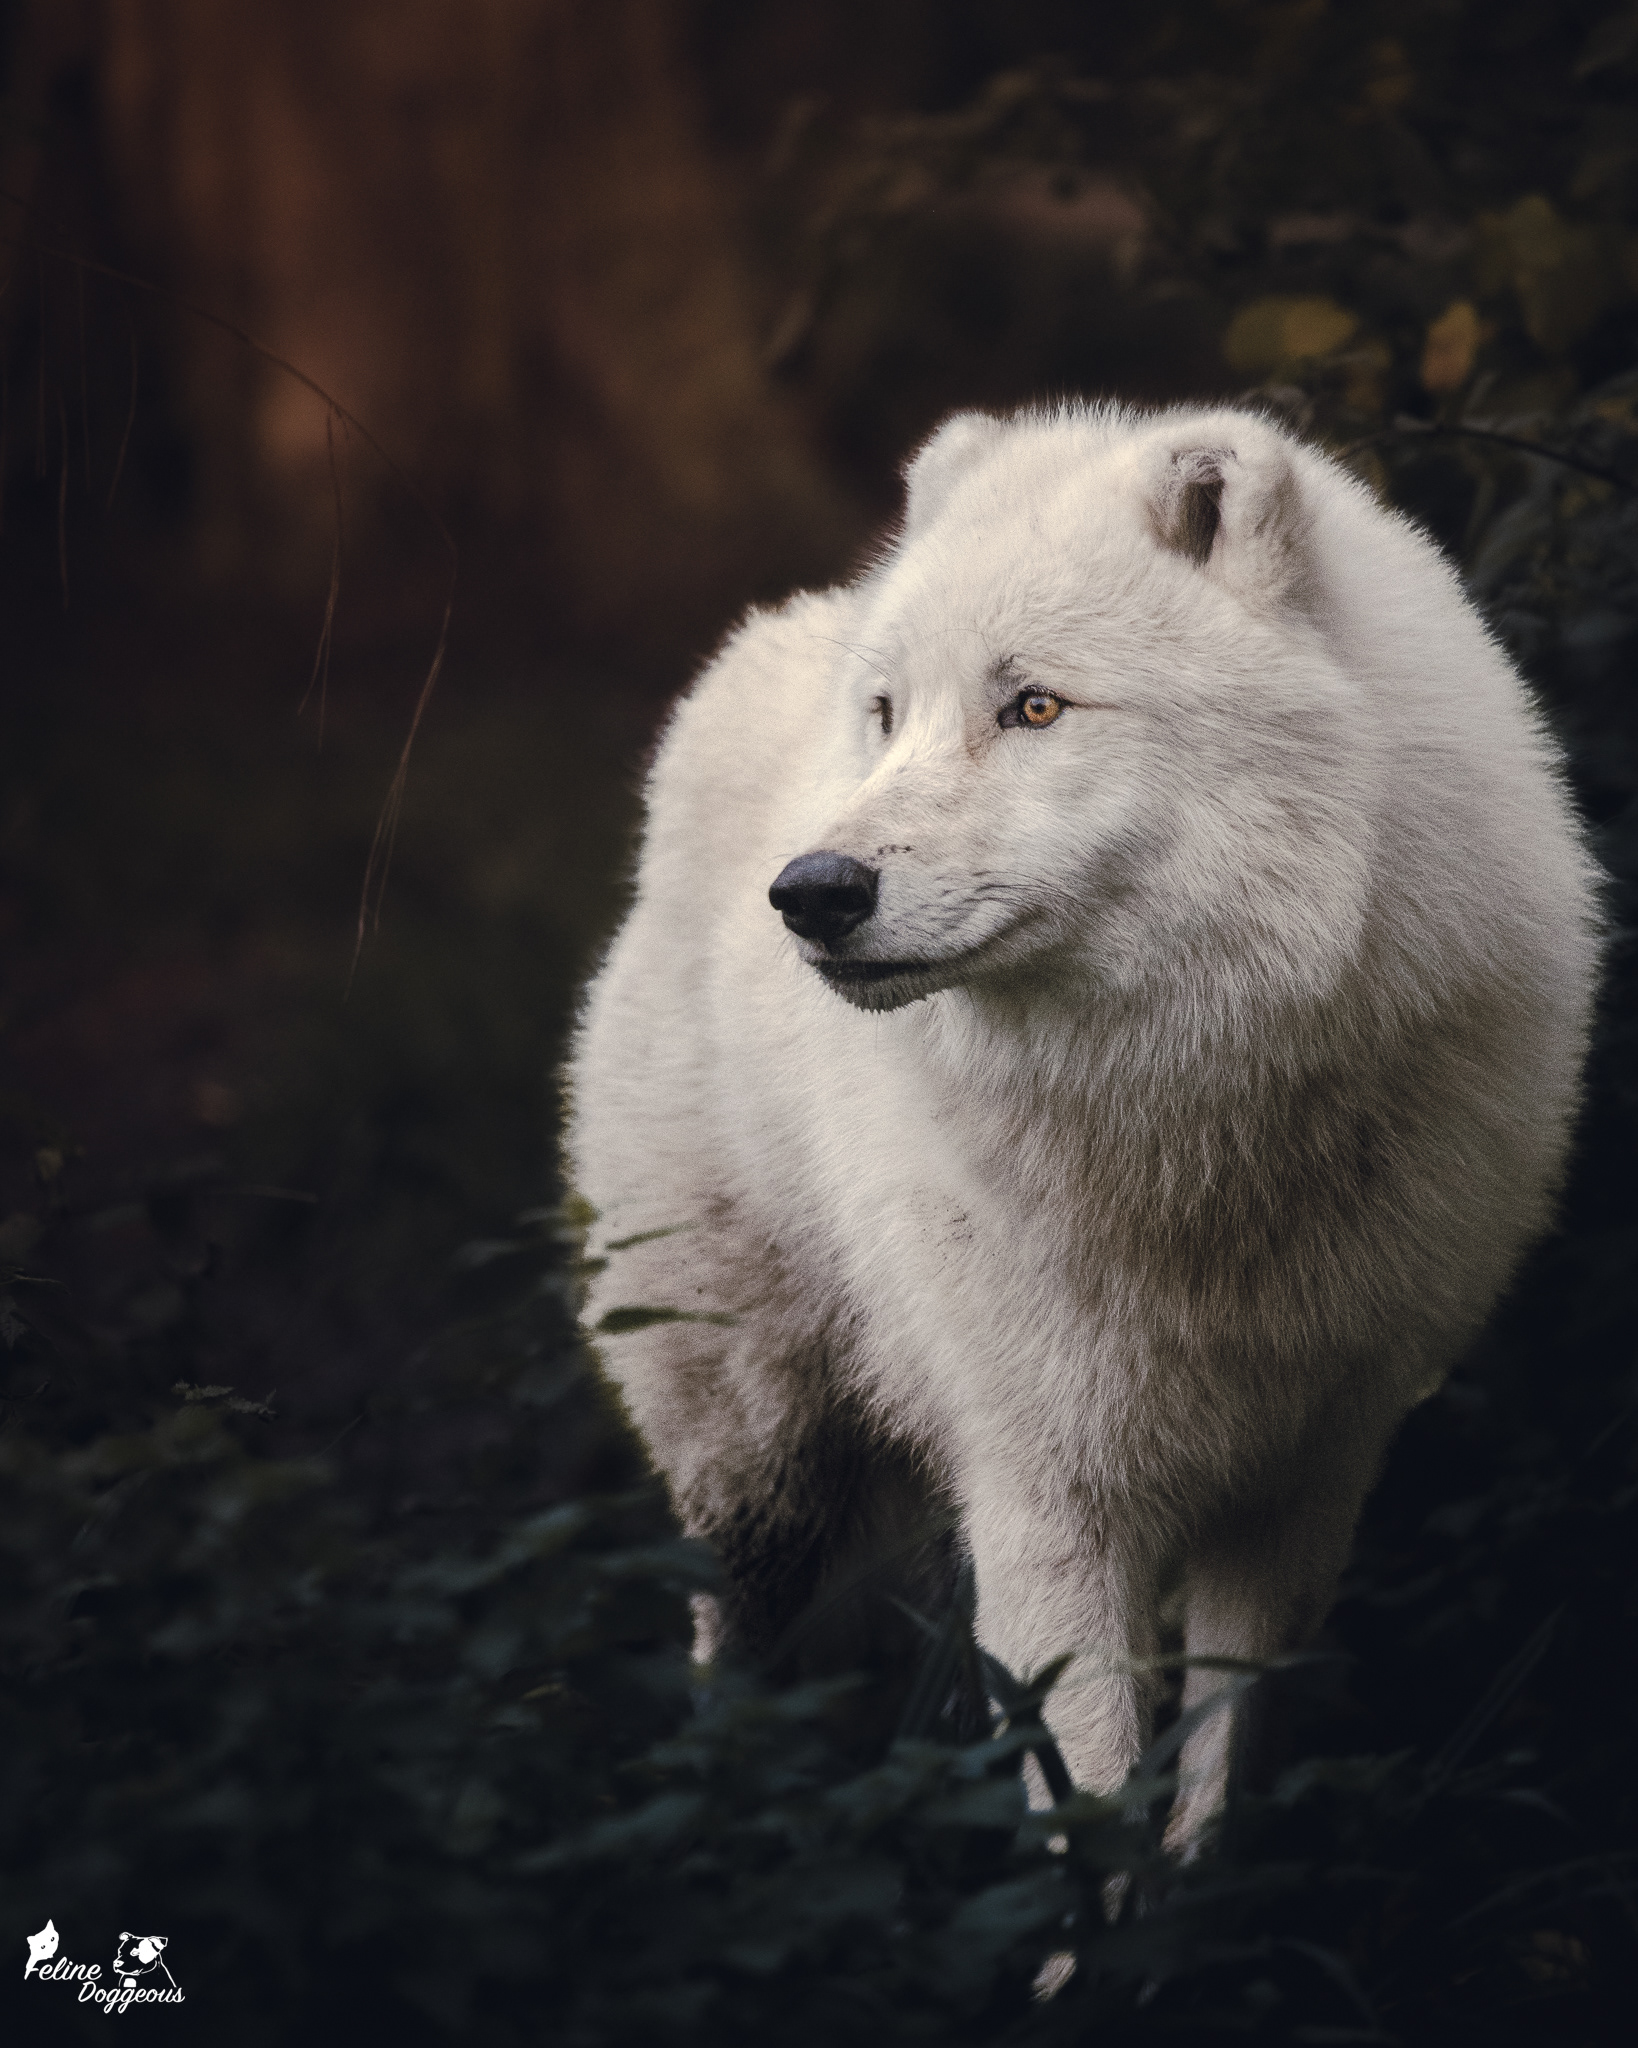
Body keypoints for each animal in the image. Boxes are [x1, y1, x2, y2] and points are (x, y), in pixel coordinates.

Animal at [566, 403, 1598, 1845]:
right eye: (889, 714)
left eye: (1035, 706)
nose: (810, 891)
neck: (1190, 1118)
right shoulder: (1041, 1487)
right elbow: (1092, 1797)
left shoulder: (1307, 1473)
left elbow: (1212, 1769)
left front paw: (1200, 1903)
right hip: (755, 1453)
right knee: (733, 1656)